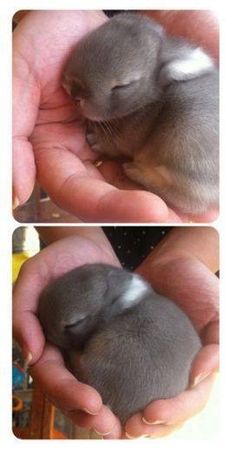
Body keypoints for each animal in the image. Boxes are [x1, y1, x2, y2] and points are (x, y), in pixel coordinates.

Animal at [61, 13, 218, 216]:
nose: (74, 92)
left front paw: (94, 139)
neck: (148, 102)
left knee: (192, 202)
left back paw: (135, 171)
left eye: (122, 85)